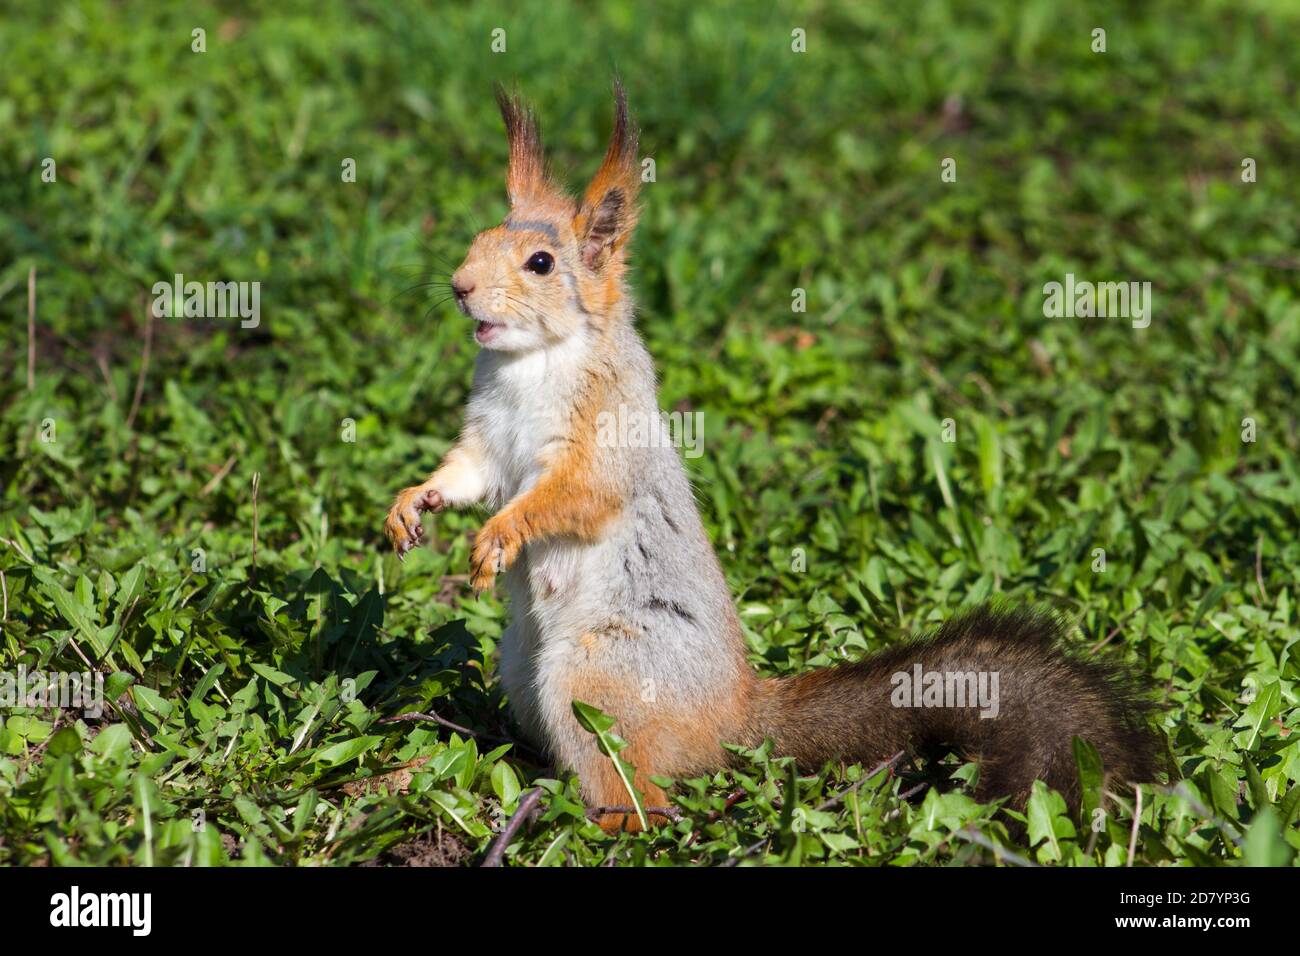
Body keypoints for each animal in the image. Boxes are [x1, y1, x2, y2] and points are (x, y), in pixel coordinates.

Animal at [384, 83, 1163, 833]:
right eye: (478, 239)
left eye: (541, 263)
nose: (459, 286)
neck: (533, 362)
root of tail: (736, 718)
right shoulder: (489, 436)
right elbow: (469, 475)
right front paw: (410, 504)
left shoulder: (605, 435)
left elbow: (577, 495)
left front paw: (499, 536)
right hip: (522, 670)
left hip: (599, 677)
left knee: (646, 792)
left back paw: (597, 820)